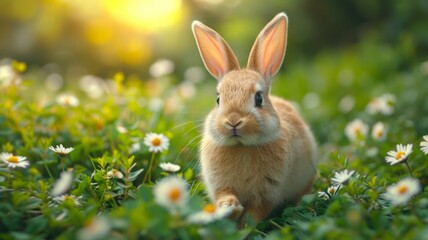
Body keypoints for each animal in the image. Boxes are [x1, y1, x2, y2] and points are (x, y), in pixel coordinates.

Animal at [191, 12, 318, 223]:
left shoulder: (266, 194)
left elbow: (254, 215)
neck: (241, 146)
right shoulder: (221, 186)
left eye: (258, 98)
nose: (233, 121)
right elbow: (225, 196)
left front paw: (244, 226)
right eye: (218, 99)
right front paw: (229, 206)